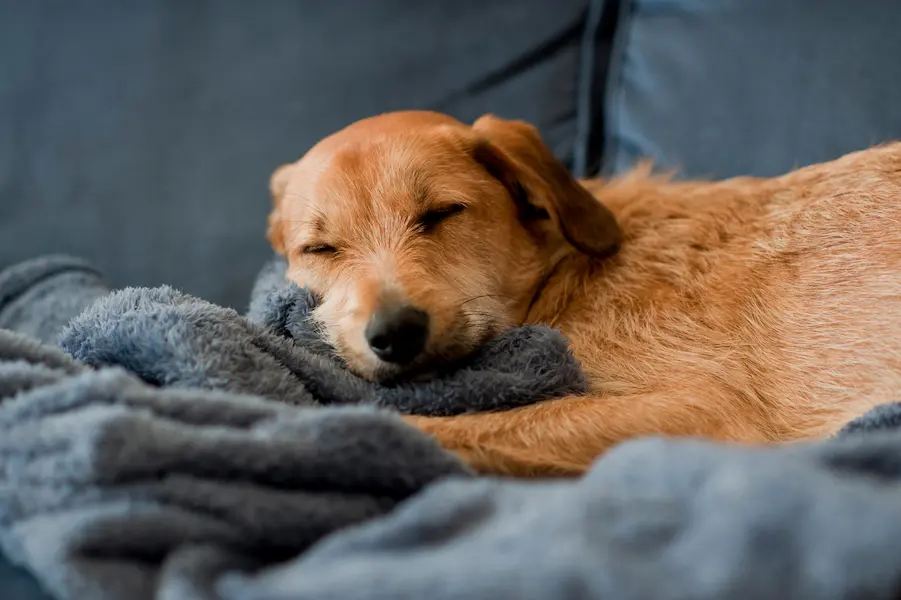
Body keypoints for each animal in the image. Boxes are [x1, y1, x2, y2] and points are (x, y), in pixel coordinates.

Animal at [268, 110, 901, 478]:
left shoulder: (704, 408)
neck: (568, 274)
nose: (394, 333)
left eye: (443, 213)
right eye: (320, 249)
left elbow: (458, 424)